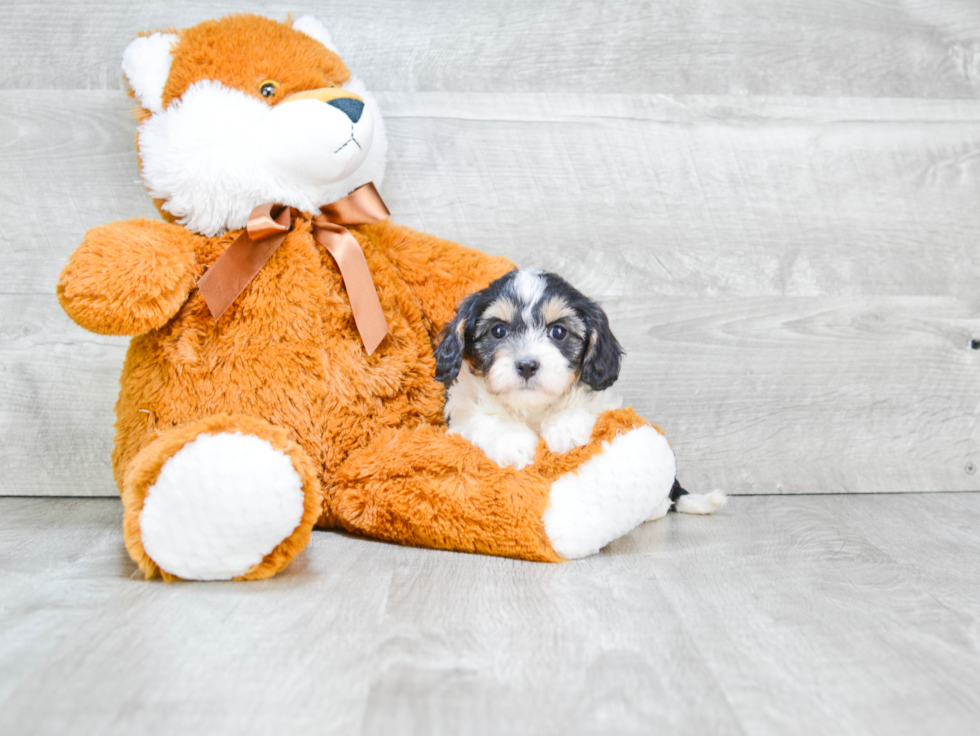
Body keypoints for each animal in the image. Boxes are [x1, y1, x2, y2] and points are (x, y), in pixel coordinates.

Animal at [434, 270, 624, 472]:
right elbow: (480, 418)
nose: (526, 366)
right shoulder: (460, 415)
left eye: (558, 332)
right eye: (498, 331)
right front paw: (510, 438)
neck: (530, 407)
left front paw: (565, 425)